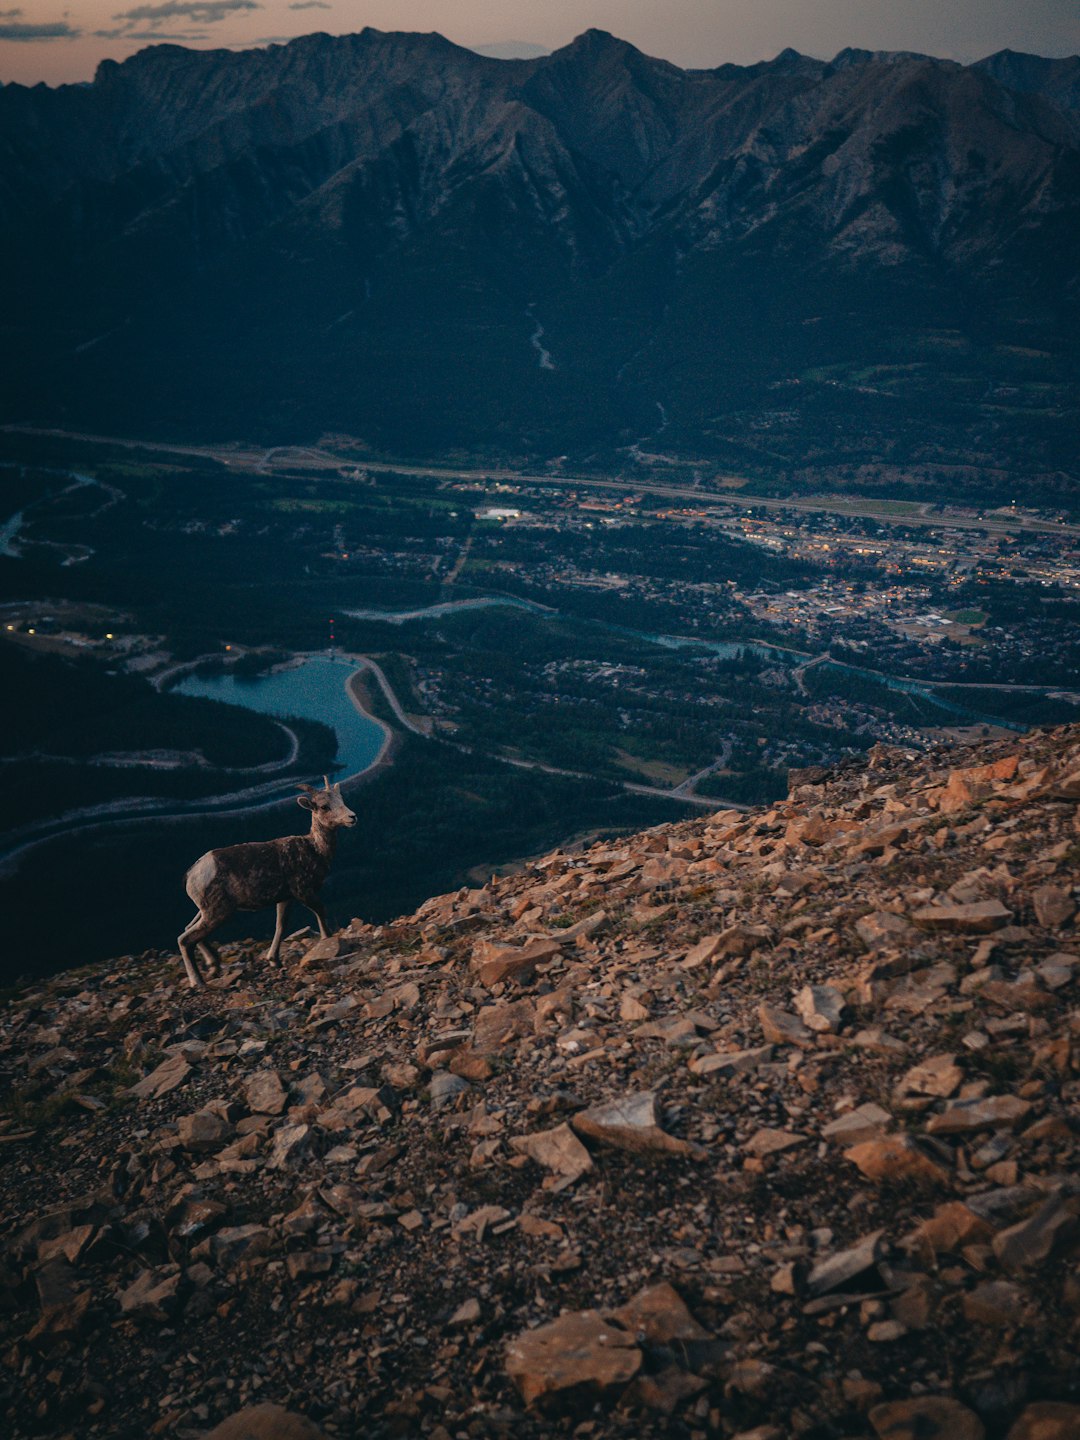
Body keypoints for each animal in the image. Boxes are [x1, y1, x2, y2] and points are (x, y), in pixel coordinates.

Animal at [175, 777, 357, 990]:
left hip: (205, 911)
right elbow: (320, 911)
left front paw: (274, 960)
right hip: (217, 912)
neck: (314, 849)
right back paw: (198, 982)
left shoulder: (285, 899)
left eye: (341, 799)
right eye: (324, 806)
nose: (352, 817)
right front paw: (326, 940)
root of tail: (191, 874)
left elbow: (281, 925)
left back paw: (214, 966)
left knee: (188, 930)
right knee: (185, 939)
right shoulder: (303, 892)